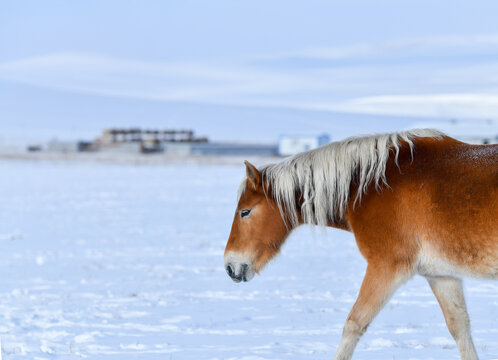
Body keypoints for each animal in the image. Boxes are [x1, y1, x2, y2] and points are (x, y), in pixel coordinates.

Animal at [224, 129, 496, 360]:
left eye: (245, 212)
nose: (229, 266)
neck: (374, 185)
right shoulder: (441, 275)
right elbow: (460, 327)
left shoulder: (386, 267)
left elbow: (354, 323)